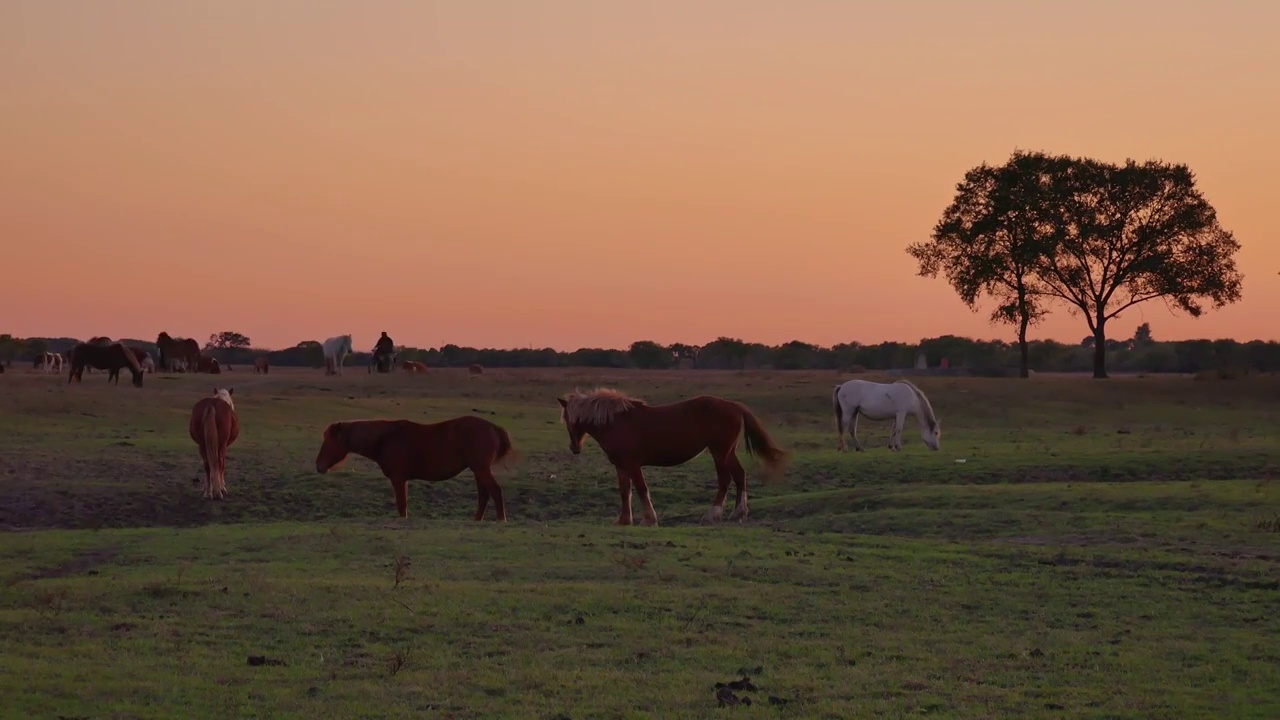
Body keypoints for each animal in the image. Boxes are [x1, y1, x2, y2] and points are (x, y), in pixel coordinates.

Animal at [312, 415, 517, 520]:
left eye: (329, 441)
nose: (319, 466)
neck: (385, 439)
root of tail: (493, 427)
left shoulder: (398, 479)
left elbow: (401, 505)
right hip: (478, 470)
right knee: (484, 494)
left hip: (480, 469)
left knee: (494, 491)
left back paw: (501, 519)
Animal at [558, 389, 788, 525]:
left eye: (569, 419)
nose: (574, 448)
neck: (617, 422)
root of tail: (733, 405)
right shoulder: (620, 466)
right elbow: (625, 491)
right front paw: (624, 520)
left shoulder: (632, 464)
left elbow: (641, 489)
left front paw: (650, 519)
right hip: (728, 452)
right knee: (740, 476)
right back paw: (738, 513)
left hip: (719, 452)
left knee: (725, 480)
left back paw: (711, 515)